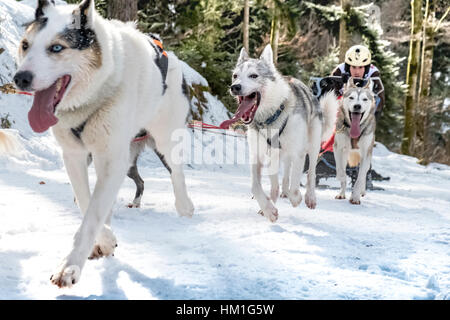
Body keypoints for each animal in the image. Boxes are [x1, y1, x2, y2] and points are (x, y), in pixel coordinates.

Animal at [13, 0, 193, 284]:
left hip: (164, 140)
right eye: (25, 45)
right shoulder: (75, 156)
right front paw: (105, 241)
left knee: (176, 172)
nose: (20, 78)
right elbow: (87, 202)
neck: (94, 96)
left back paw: (185, 206)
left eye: (56, 47)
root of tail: (168, 54)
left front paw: (70, 266)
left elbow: (93, 214)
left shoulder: (110, 159)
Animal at [221, 45, 338, 222]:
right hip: (274, 157)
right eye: (235, 76)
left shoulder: (298, 153)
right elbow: (255, 186)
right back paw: (271, 202)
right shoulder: (257, 156)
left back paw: (309, 197)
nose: (235, 87)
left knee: (310, 173)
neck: (271, 117)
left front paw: (295, 198)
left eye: (253, 75)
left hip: (312, 146)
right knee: (277, 184)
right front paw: (269, 209)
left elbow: (296, 184)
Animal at [334, 77, 376, 205]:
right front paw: (342, 179)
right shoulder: (338, 148)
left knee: (363, 174)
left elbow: (360, 177)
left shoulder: (366, 154)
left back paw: (361, 191)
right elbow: (340, 171)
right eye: (351, 97)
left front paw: (355, 197)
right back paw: (341, 193)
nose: (357, 106)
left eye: (364, 99)